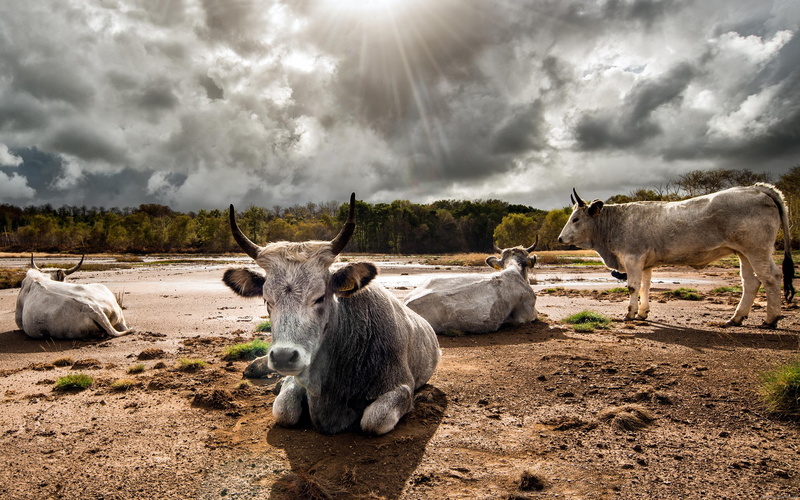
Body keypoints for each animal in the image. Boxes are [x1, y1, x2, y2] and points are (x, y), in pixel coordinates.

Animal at [222, 193, 440, 435]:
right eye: (267, 300)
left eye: (319, 297)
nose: (283, 357)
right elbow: (284, 411)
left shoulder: (401, 386)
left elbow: (374, 421)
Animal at [557, 184, 796, 328]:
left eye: (576, 219)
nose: (560, 238)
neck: (615, 222)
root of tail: (756, 188)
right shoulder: (645, 264)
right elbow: (645, 287)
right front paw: (643, 313)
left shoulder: (633, 258)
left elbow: (633, 287)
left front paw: (630, 314)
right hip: (743, 253)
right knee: (751, 282)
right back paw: (736, 318)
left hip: (757, 250)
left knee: (771, 278)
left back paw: (771, 319)